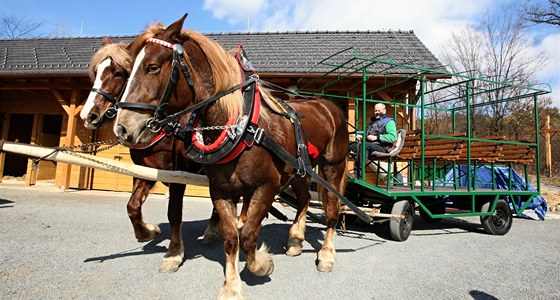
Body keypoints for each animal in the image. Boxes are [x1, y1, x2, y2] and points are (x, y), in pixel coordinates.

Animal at [80, 34, 220, 272]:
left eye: (118, 73)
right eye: (96, 70)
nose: (87, 115)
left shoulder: (178, 174)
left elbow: (174, 212)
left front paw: (174, 253)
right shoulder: (145, 171)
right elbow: (132, 206)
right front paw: (147, 232)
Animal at [114, 15, 350, 298]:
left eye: (152, 67)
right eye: (127, 72)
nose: (123, 127)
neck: (241, 126)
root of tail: (328, 105)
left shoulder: (266, 187)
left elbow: (248, 236)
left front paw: (262, 264)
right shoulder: (220, 190)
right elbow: (230, 237)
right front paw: (232, 286)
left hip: (333, 166)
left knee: (332, 210)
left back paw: (326, 254)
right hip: (300, 170)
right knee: (304, 199)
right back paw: (295, 238)